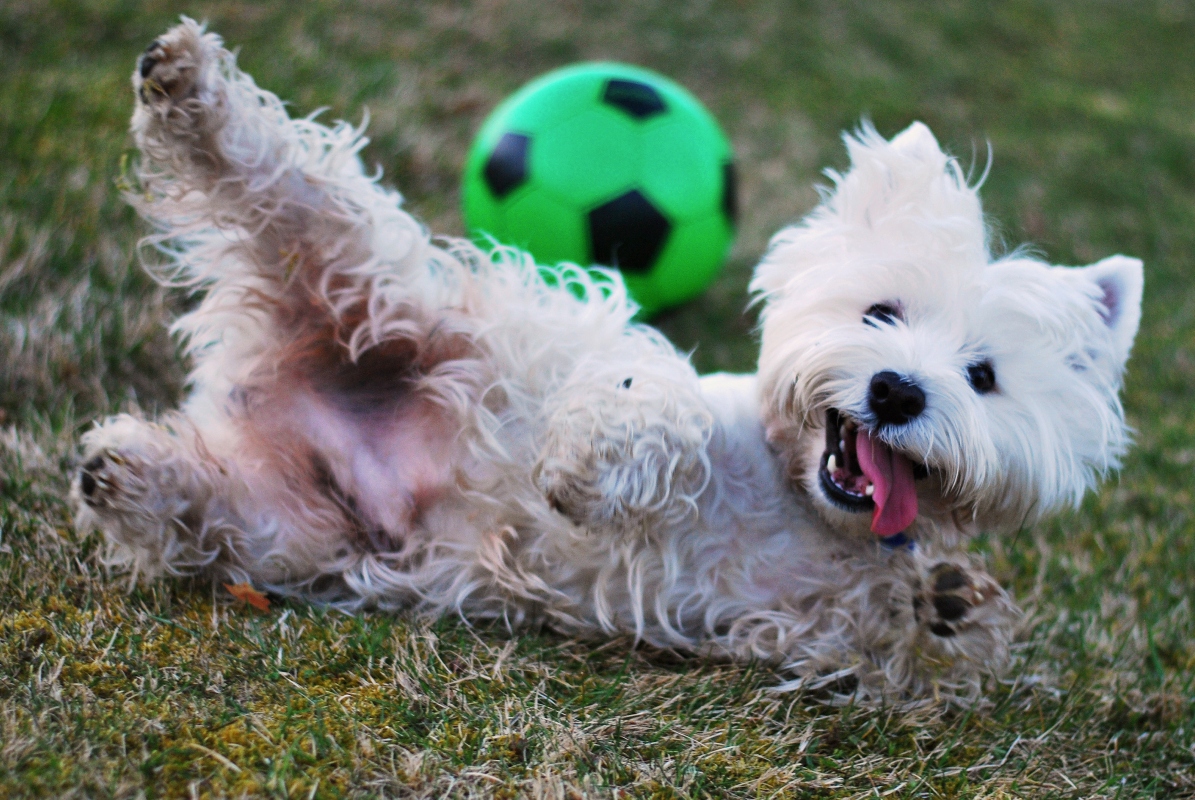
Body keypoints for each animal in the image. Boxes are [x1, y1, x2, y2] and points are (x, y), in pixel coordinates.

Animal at [72, 20, 1137, 698]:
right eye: (881, 312)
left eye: (984, 377)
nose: (896, 389)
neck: (795, 500)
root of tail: (258, 378)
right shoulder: (657, 387)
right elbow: (652, 405)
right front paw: (586, 469)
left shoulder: (782, 627)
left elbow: (890, 642)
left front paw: (944, 607)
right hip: (384, 286)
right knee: (283, 183)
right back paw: (186, 85)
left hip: (296, 528)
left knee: (201, 507)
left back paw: (124, 470)